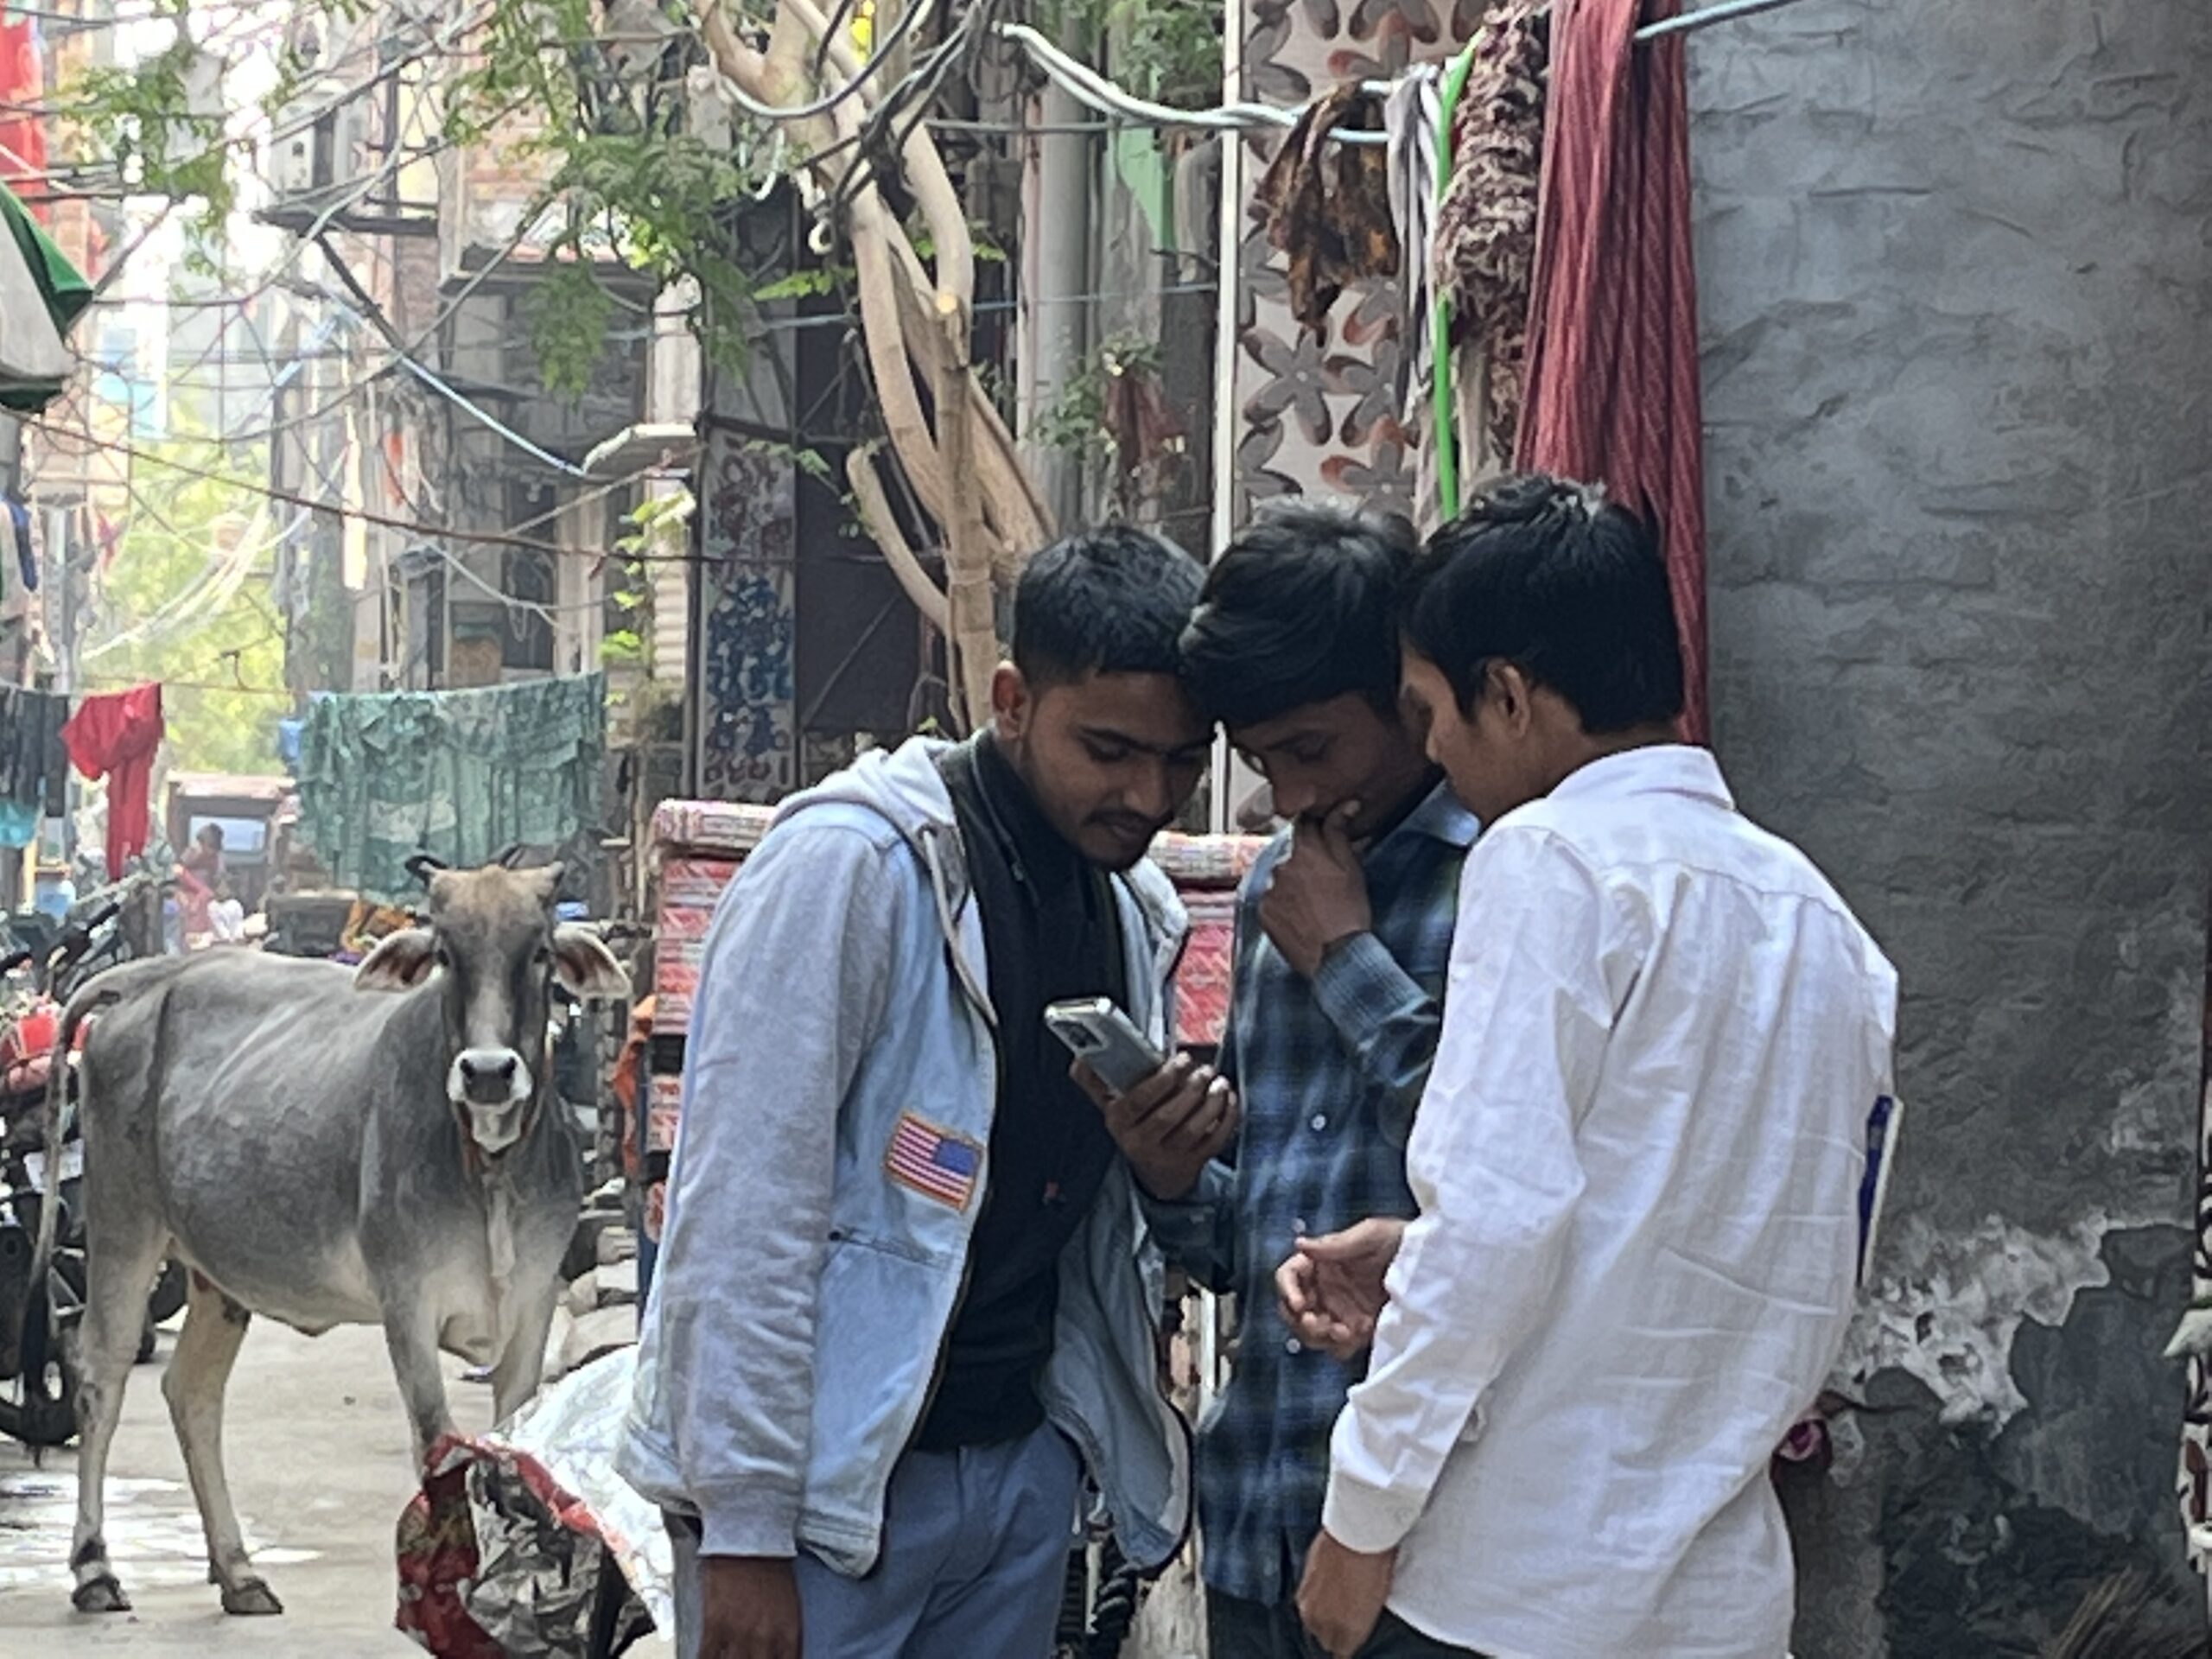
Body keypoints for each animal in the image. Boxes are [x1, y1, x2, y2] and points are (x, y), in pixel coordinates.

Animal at [30, 862, 628, 1618]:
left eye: (541, 952)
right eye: (445, 954)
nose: (489, 1072)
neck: (487, 1167)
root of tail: (151, 977)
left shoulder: (531, 1303)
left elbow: (507, 1447)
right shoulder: (407, 1304)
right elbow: (437, 1442)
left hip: (217, 1275)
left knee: (191, 1393)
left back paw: (239, 1572)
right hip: (123, 1229)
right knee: (99, 1380)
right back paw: (94, 1568)